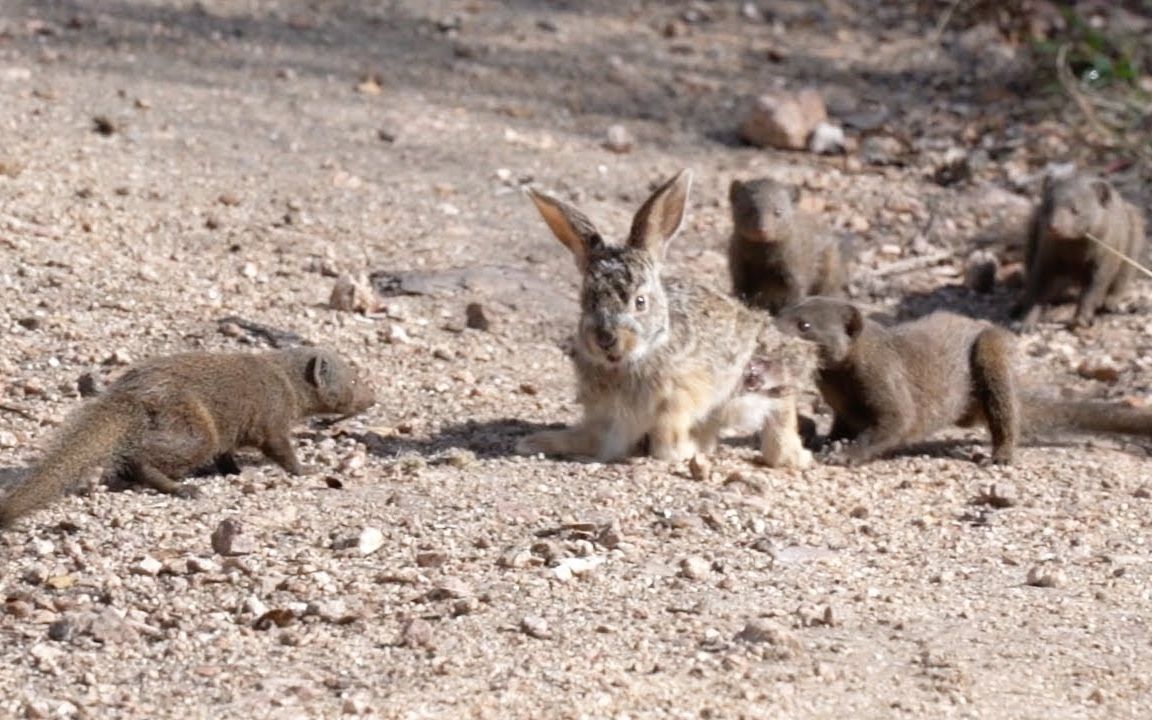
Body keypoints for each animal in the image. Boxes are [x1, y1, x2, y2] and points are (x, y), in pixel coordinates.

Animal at [518, 171, 815, 470]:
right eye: (586, 300)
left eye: (640, 302)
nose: (605, 338)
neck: (631, 361)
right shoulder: (606, 415)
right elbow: (592, 437)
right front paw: (538, 442)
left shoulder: (677, 399)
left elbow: (667, 445)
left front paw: (682, 451)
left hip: (756, 378)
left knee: (780, 411)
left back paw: (794, 456)